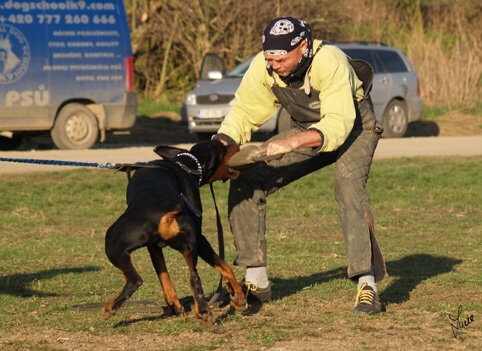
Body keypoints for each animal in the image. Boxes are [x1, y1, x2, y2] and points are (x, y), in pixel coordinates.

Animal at [100, 140, 247, 324]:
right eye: (224, 146)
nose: (237, 143)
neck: (184, 164)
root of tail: (166, 211)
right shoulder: (191, 240)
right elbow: (225, 267)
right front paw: (239, 297)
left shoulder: (155, 247)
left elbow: (165, 277)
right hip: (189, 242)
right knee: (192, 277)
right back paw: (203, 311)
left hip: (115, 245)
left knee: (135, 279)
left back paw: (111, 307)